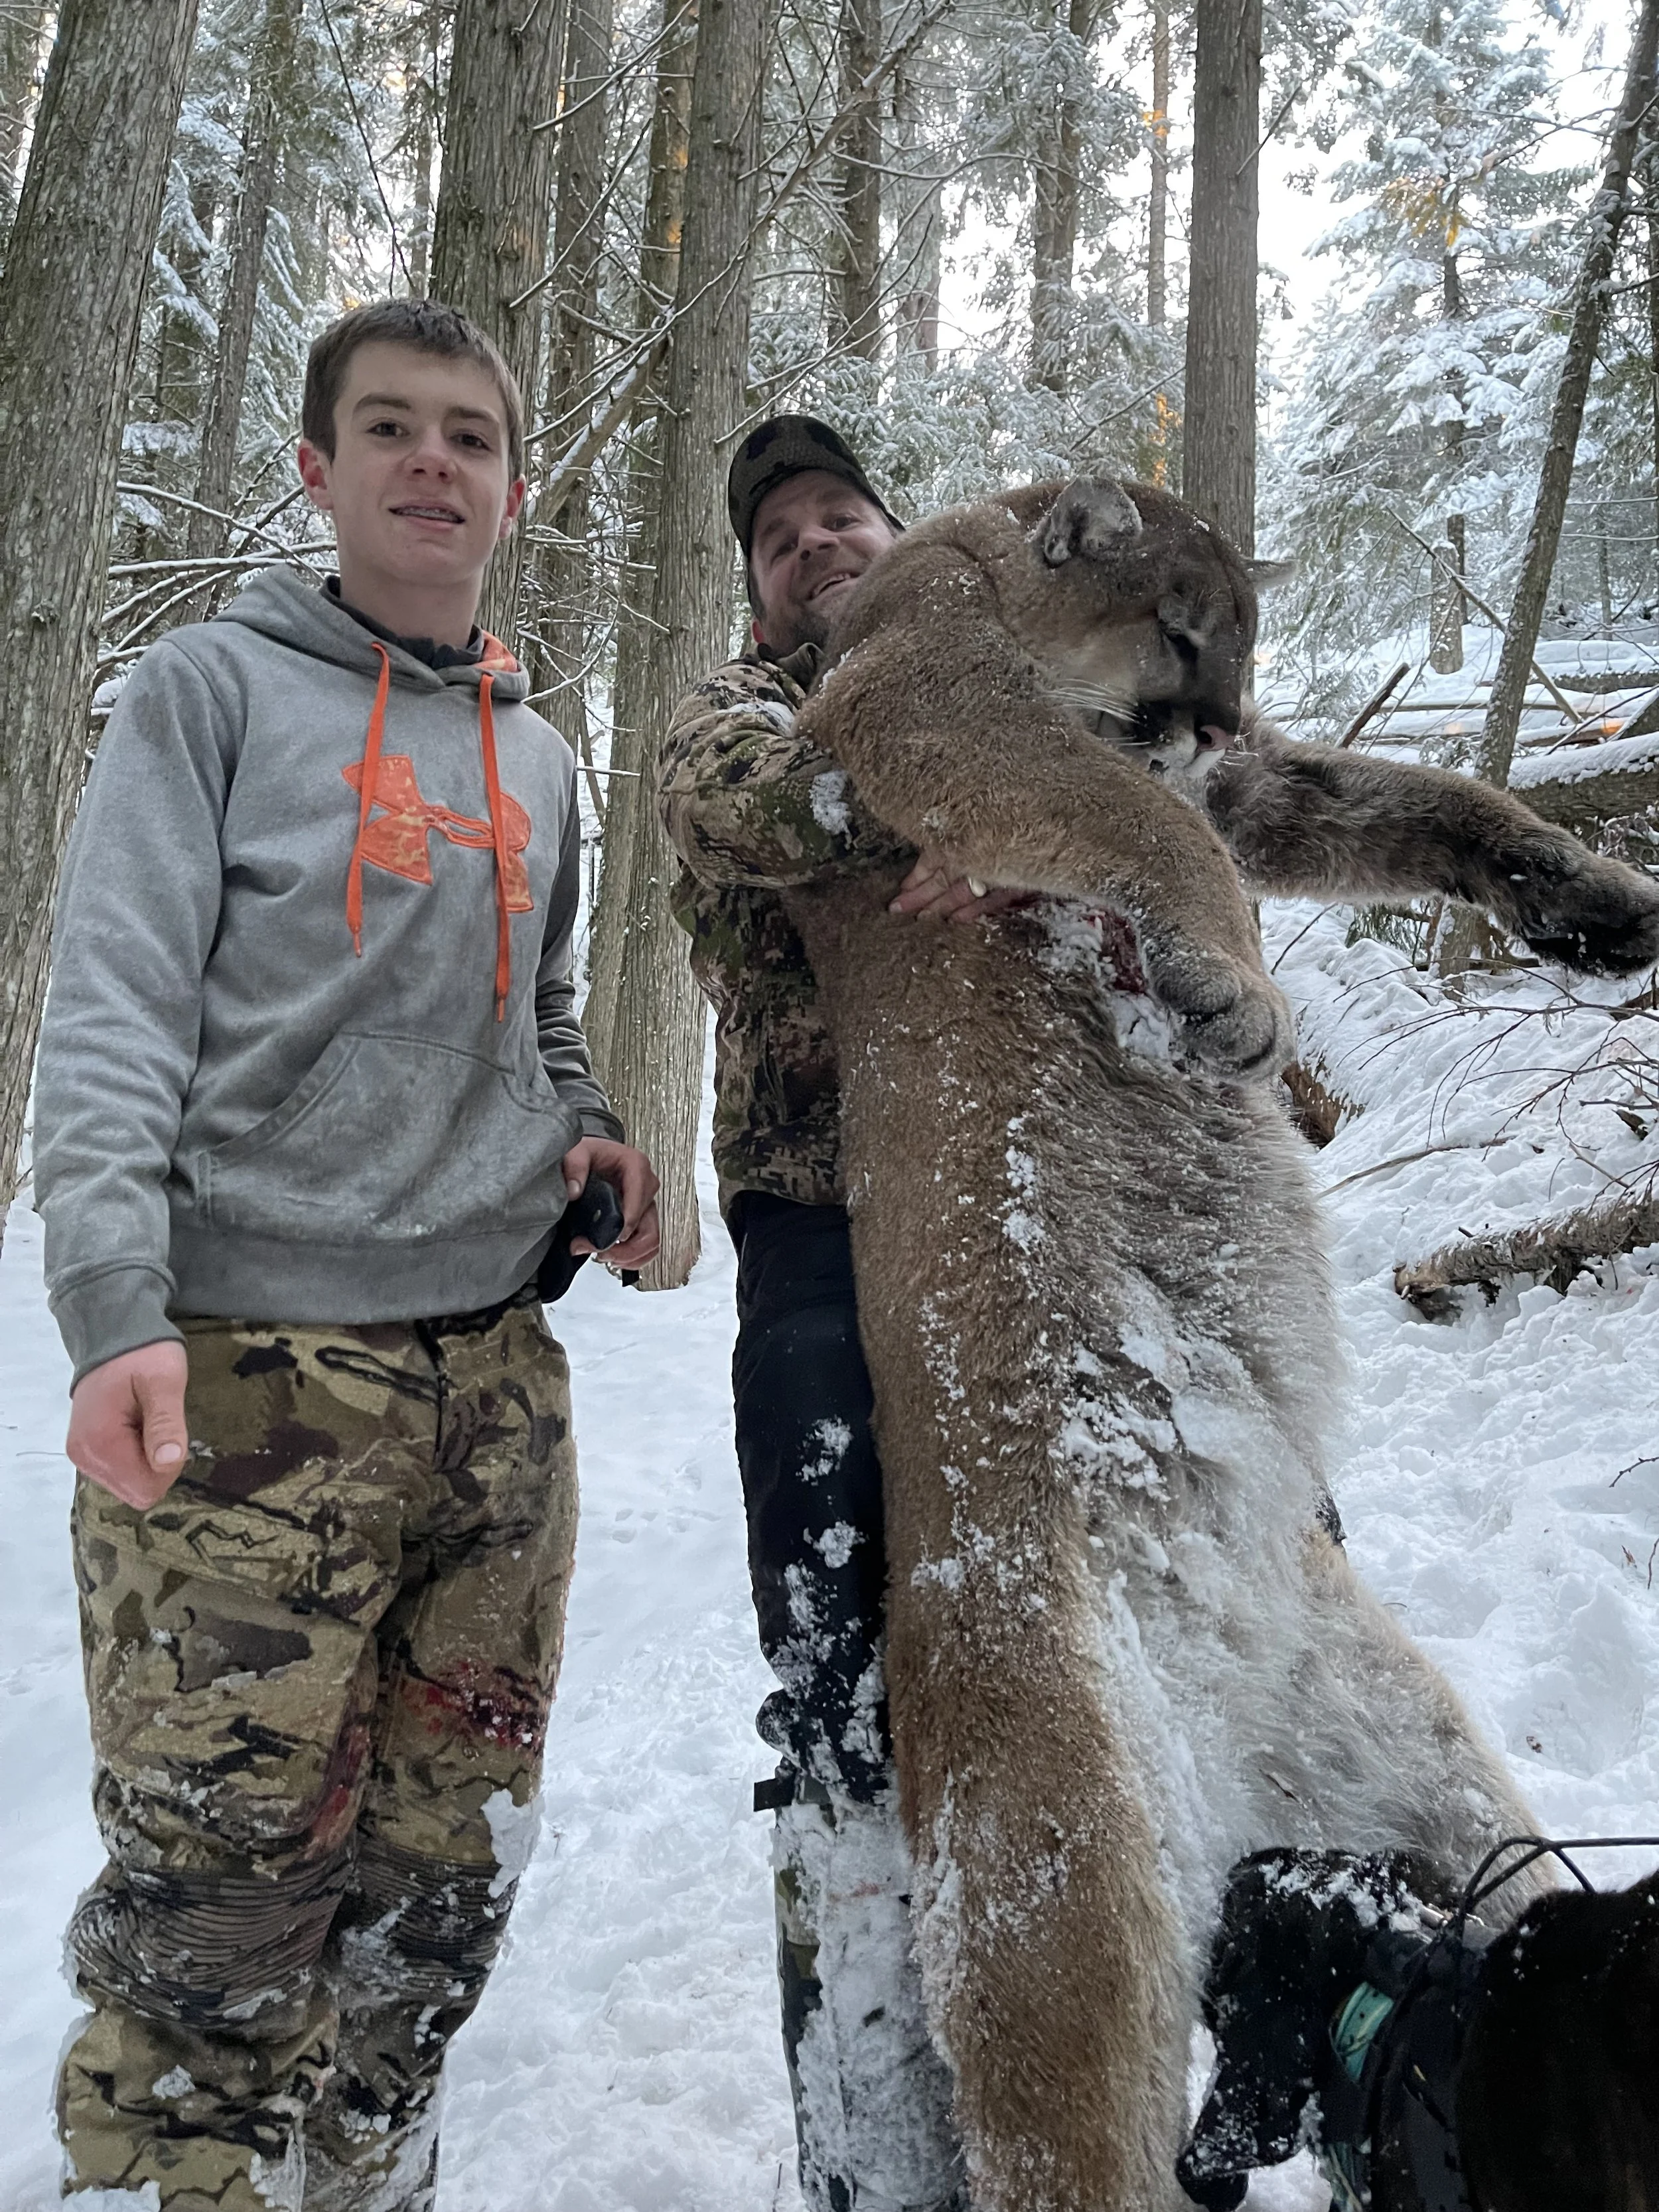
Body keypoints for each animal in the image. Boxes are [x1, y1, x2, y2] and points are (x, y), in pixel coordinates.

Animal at [781, 477, 1659, 2212]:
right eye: (1184, 630)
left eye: (1246, 641)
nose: (1215, 713)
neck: (976, 560)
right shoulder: (929, 701)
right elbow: (1148, 822)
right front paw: (1233, 987)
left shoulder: (1252, 783)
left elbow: (1395, 792)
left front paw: (1593, 904)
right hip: (1062, 1890)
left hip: (1426, 1776)